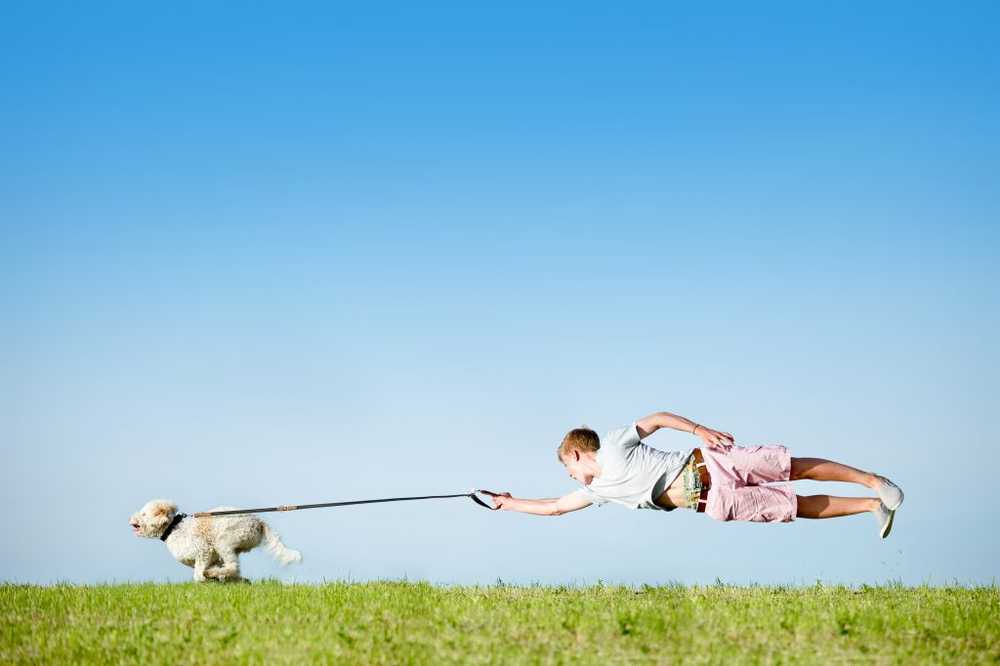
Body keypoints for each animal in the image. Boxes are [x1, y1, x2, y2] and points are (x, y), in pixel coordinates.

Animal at [129, 496, 302, 580]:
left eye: (143, 514)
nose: (130, 519)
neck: (174, 528)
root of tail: (258, 521)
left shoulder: (203, 551)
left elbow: (198, 575)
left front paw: (208, 576)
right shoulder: (212, 559)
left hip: (223, 541)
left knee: (233, 566)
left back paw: (213, 574)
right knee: (234, 569)